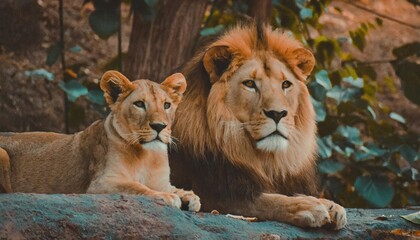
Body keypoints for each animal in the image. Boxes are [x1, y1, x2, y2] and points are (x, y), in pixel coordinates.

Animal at [0, 71, 200, 212]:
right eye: (139, 104)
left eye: (167, 105)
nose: (159, 126)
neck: (147, 156)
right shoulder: (100, 184)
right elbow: (137, 186)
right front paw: (167, 197)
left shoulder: (162, 181)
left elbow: (175, 188)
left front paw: (189, 197)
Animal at [169, 23, 346, 228]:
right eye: (249, 84)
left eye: (286, 84)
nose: (277, 114)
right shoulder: (217, 196)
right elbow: (268, 200)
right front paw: (309, 206)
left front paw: (332, 206)